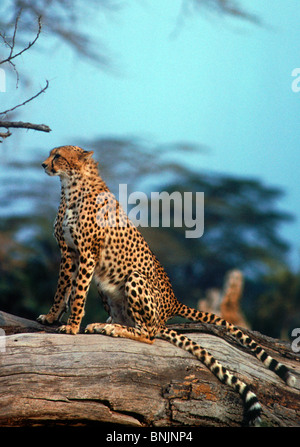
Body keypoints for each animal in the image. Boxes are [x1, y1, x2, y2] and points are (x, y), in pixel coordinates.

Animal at [37, 146, 296, 428]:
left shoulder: (86, 254)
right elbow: (63, 288)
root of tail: (173, 303)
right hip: (107, 288)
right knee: (134, 323)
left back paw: (113, 329)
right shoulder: (69, 253)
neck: (71, 187)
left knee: (149, 334)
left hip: (134, 278)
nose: (43, 165)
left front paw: (72, 327)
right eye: (50, 154)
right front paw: (52, 317)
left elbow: (77, 293)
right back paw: (105, 324)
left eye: (58, 156)